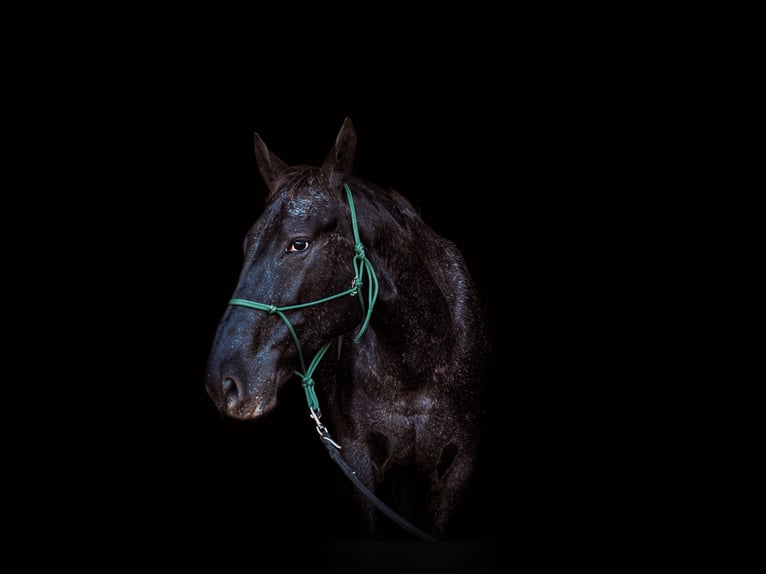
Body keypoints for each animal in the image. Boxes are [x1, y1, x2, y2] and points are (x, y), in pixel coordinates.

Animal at [206, 119, 492, 544]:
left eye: (299, 243)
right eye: (247, 243)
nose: (222, 381)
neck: (416, 363)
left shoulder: (458, 469)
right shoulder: (358, 463)